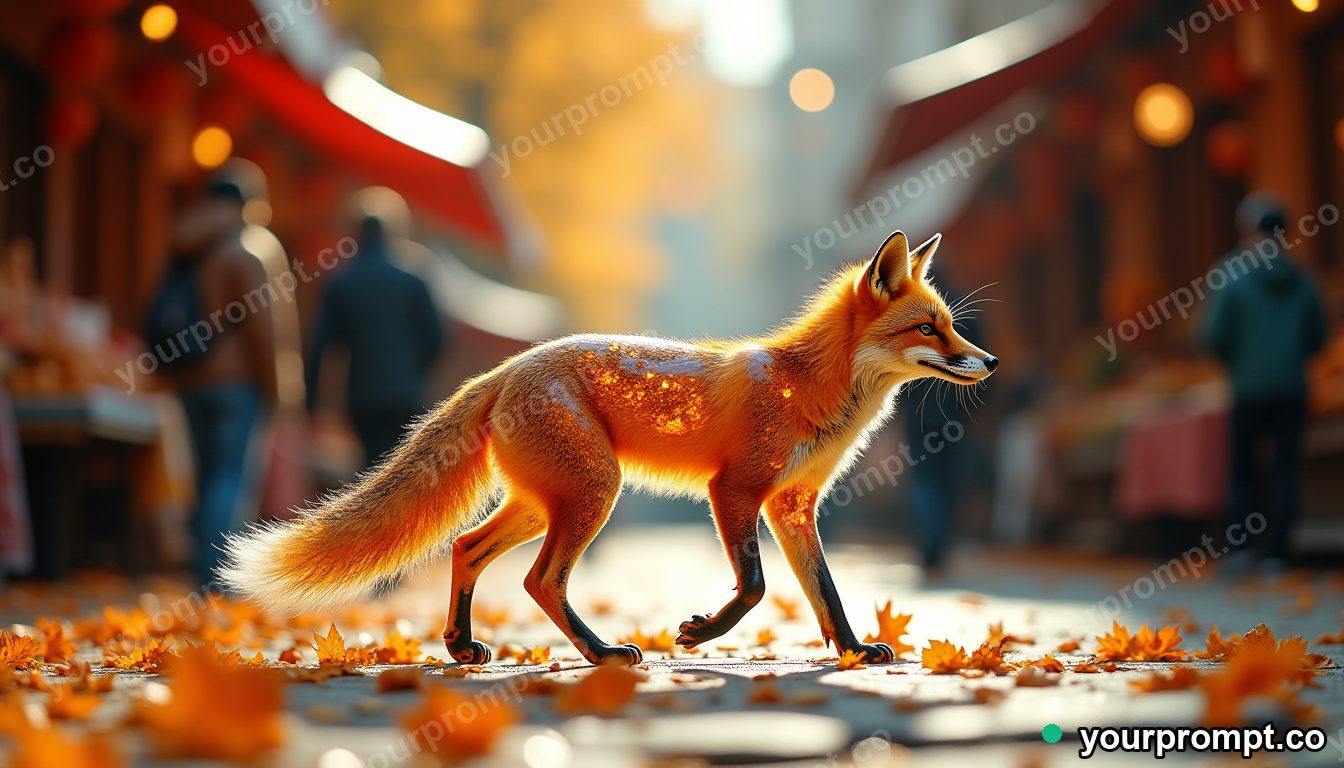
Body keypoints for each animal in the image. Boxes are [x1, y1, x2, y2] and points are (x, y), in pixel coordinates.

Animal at [219, 231, 997, 666]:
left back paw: (463, 646)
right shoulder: (735, 490)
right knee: (540, 581)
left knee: (467, 547)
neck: (808, 388)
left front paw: (854, 651)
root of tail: (507, 368)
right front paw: (700, 635)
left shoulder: (793, 506)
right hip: (593, 494)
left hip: (547, 502)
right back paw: (600, 654)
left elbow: (826, 593)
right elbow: (754, 587)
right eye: (928, 327)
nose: (988, 361)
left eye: (950, 324)